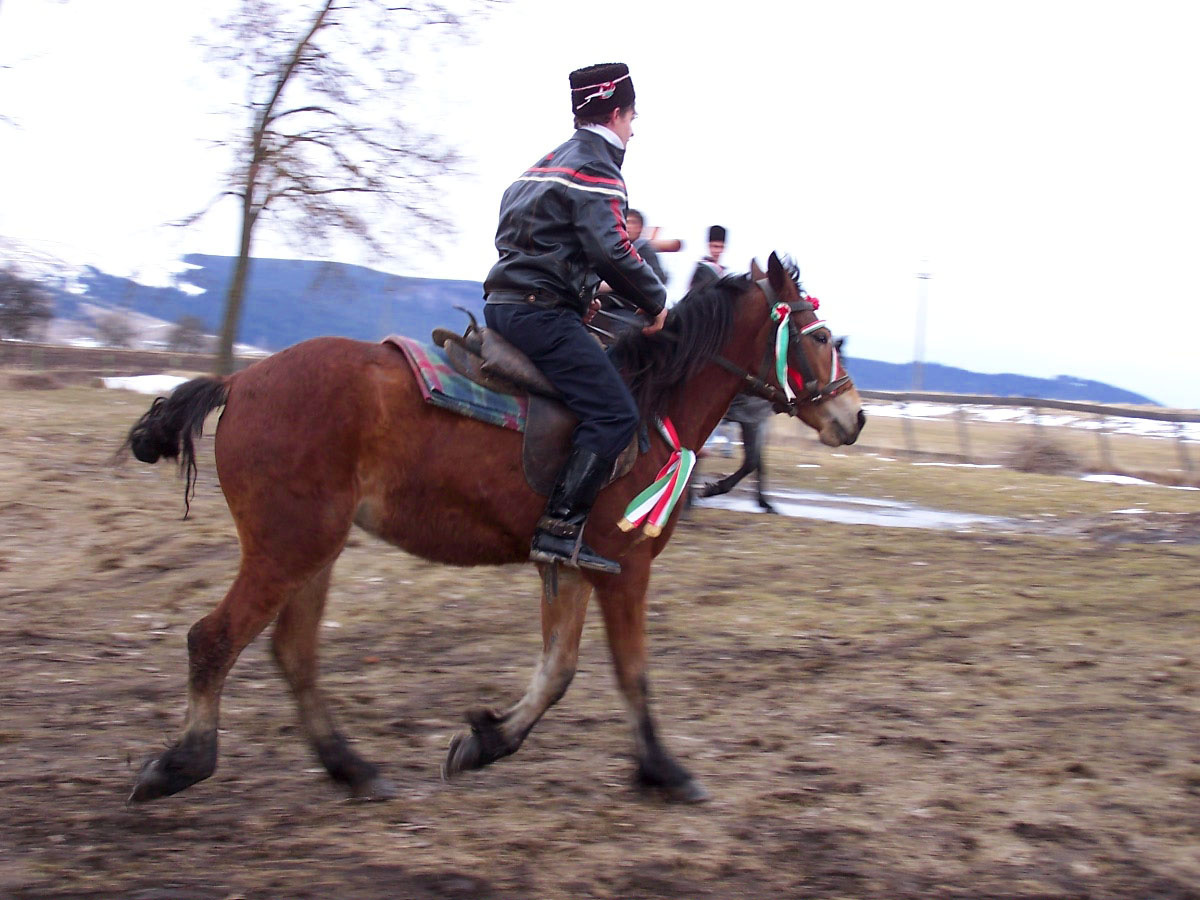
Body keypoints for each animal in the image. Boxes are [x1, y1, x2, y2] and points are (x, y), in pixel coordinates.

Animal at [121, 252, 864, 801]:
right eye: (819, 336)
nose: (852, 417)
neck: (653, 404)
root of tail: (241, 382)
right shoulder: (624, 566)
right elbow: (631, 673)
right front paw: (665, 771)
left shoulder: (570, 565)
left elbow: (558, 670)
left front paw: (484, 742)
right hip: (289, 547)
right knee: (214, 640)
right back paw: (182, 763)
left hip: (313, 550)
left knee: (293, 654)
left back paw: (350, 768)